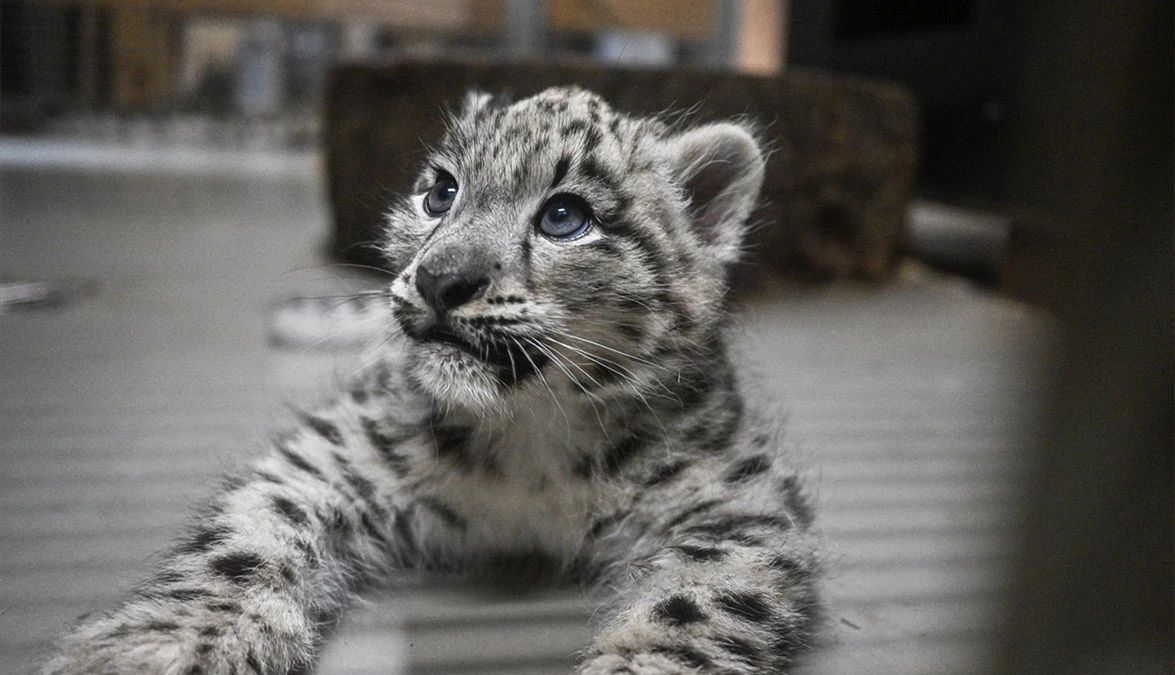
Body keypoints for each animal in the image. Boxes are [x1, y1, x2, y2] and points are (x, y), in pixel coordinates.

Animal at [43, 86, 821, 674]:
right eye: (440, 192)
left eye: (565, 216)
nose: (442, 279)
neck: (530, 442)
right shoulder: (332, 454)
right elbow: (244, 543)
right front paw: (159, 650)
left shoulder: (736, 509)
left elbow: (693, 610)